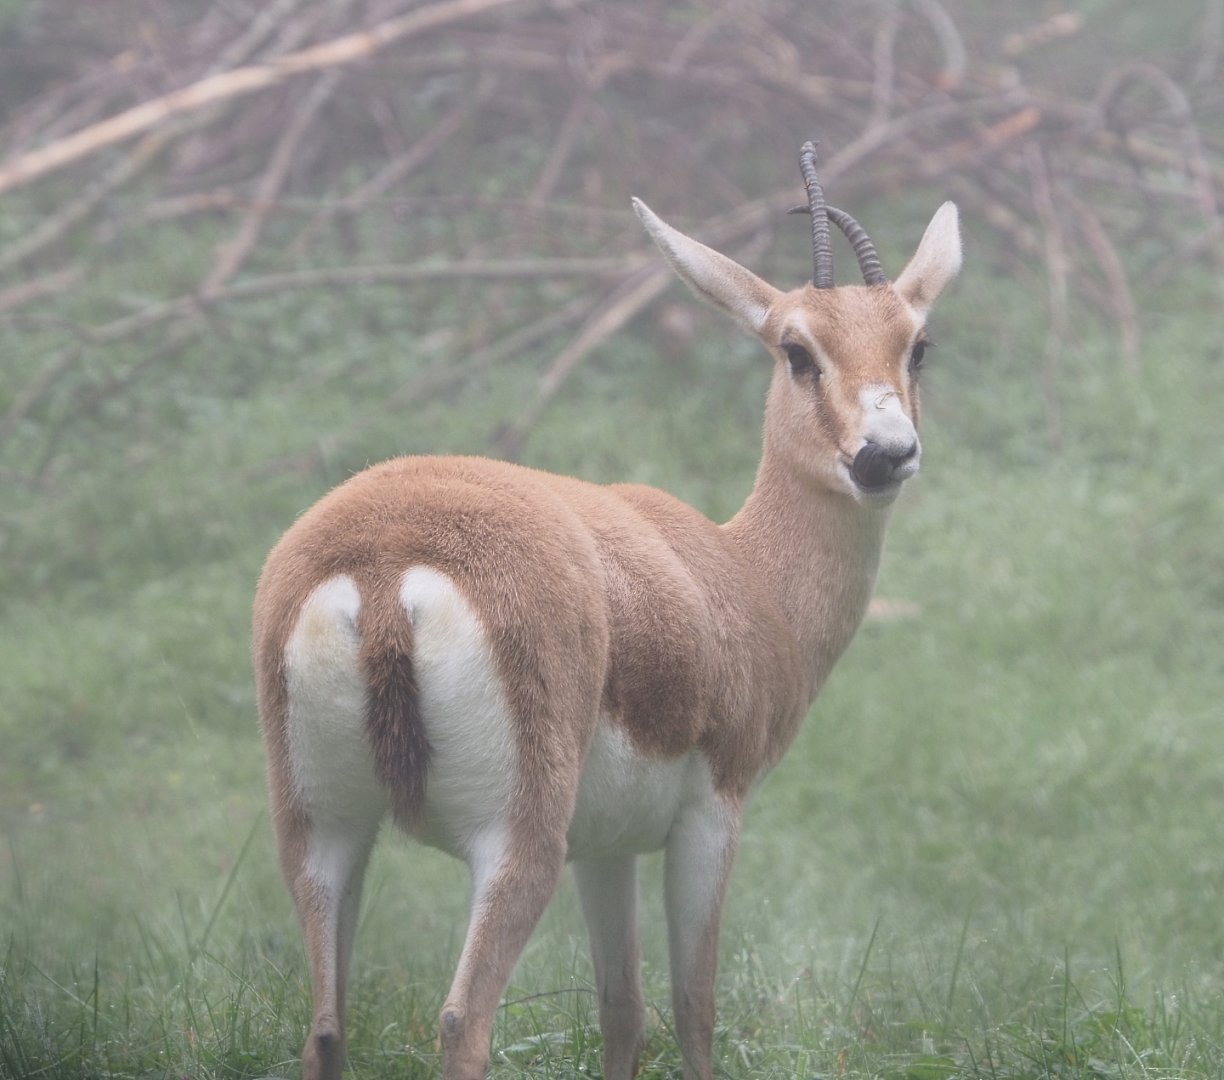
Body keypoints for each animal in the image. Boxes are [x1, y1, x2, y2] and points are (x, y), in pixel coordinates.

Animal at [253, 142, 962, 1080]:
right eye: (797, 350)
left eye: (916, 345)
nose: (884, 455)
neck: (745, 578)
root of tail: (381, 563)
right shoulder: (712, 815)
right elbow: (694, 1009)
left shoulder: (608, 846)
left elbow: (622, 1012)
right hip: (515, 842)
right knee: (462, 1021)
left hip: (322, 829)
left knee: (326, 1028)